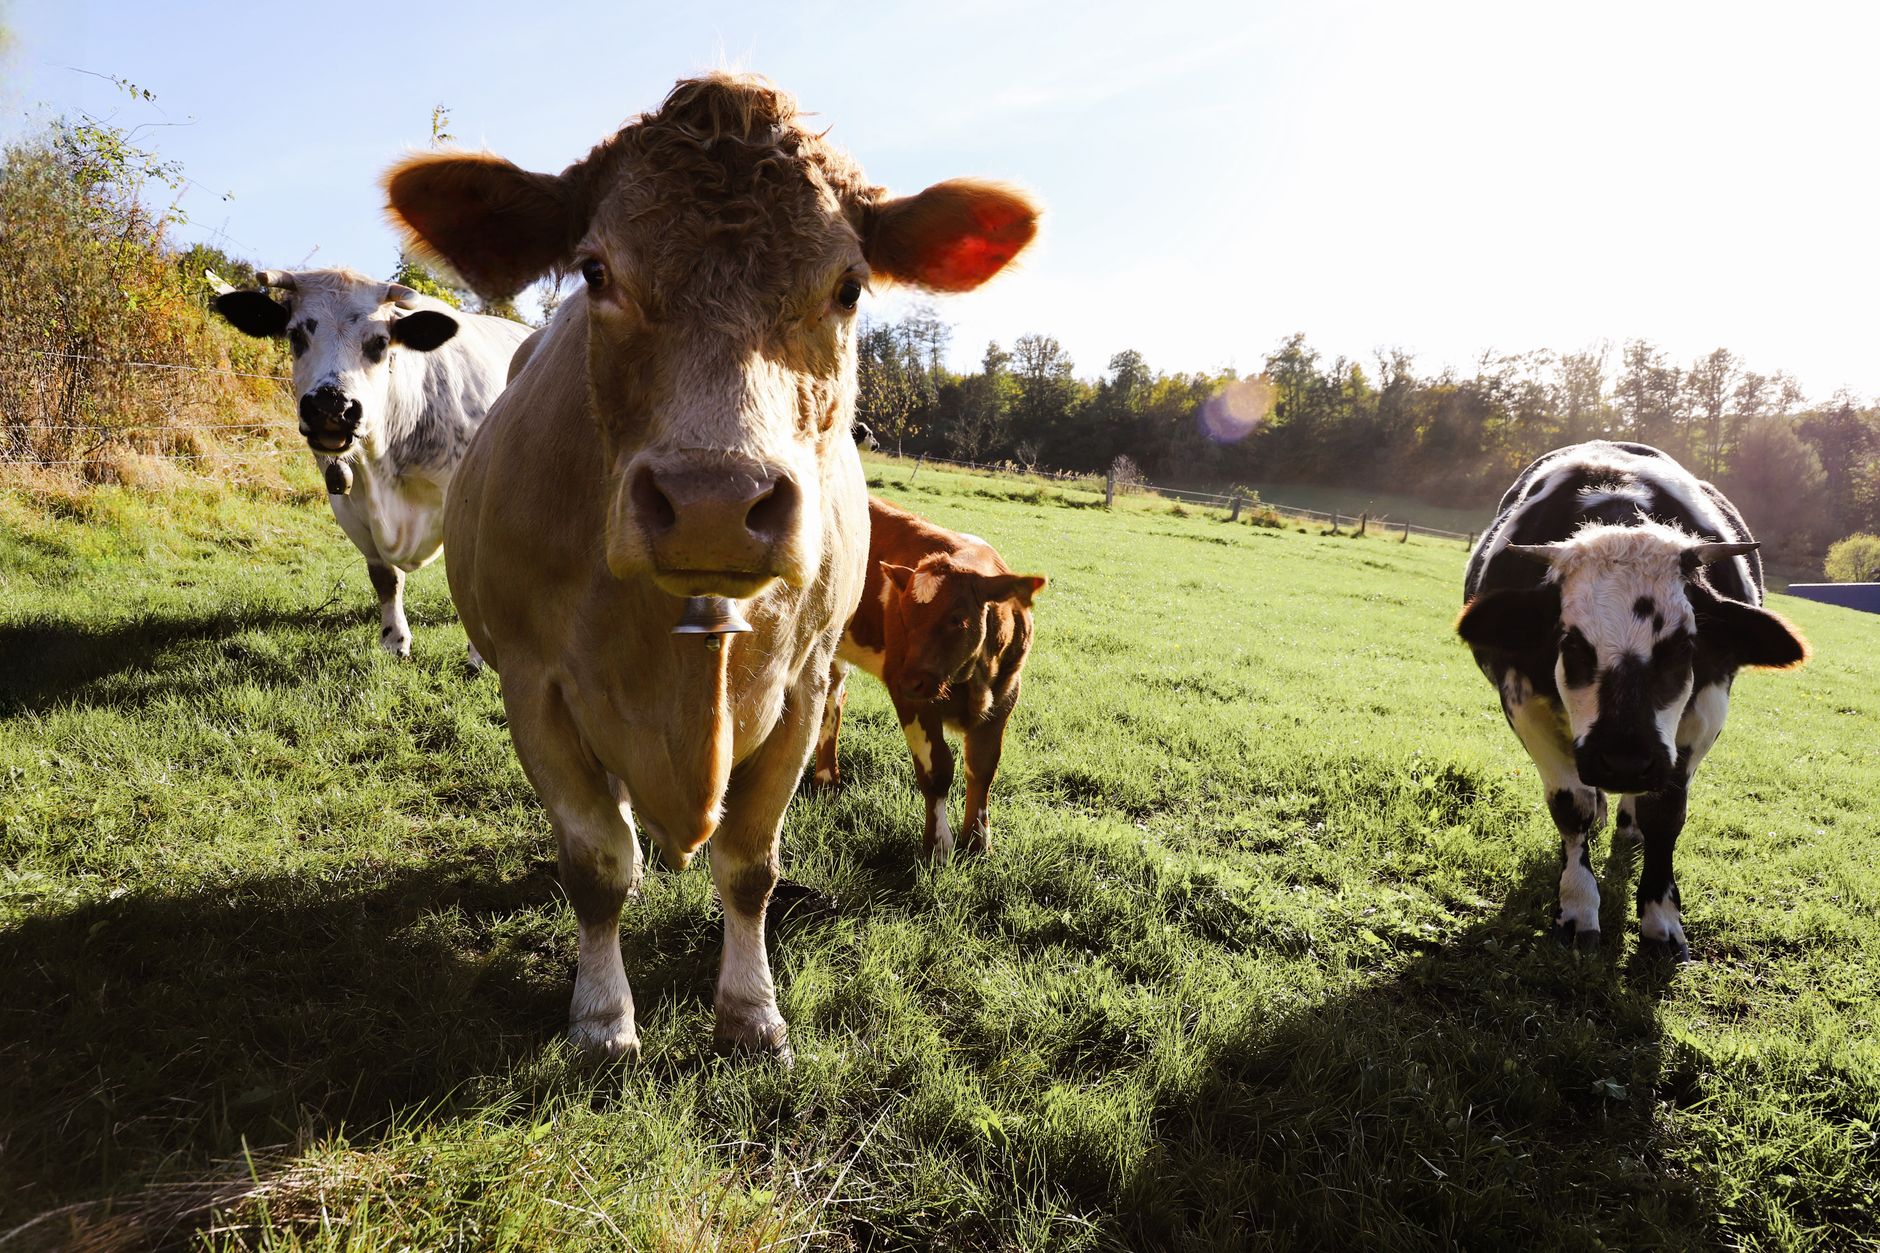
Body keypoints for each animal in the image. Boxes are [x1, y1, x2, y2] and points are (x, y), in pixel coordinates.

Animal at [211, 268, 532, 659]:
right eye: (296, 334)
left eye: (379, 342)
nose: (331, 405)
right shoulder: (350, 505)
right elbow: (385, 578)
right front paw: (394, 639)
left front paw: (477, 654)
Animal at [814, 497, 1045, 861]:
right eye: (903, 616)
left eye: (957, 619)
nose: (910, 680)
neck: (972, 680)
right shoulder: (910, 696)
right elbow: (936, 769)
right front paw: (938, 846)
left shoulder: (1006, 695)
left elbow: (982, 767)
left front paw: (978, 843)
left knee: (832, 697)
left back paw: (826, 779)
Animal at [1457, 441, 1808, 960]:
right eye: (1571, 643)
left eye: (1683, 646)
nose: (1623, 762)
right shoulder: (1522, 701)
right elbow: (1572, 805)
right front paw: (1578, 907)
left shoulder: (1706, 709)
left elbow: (1665, 813)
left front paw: (1661, 920)